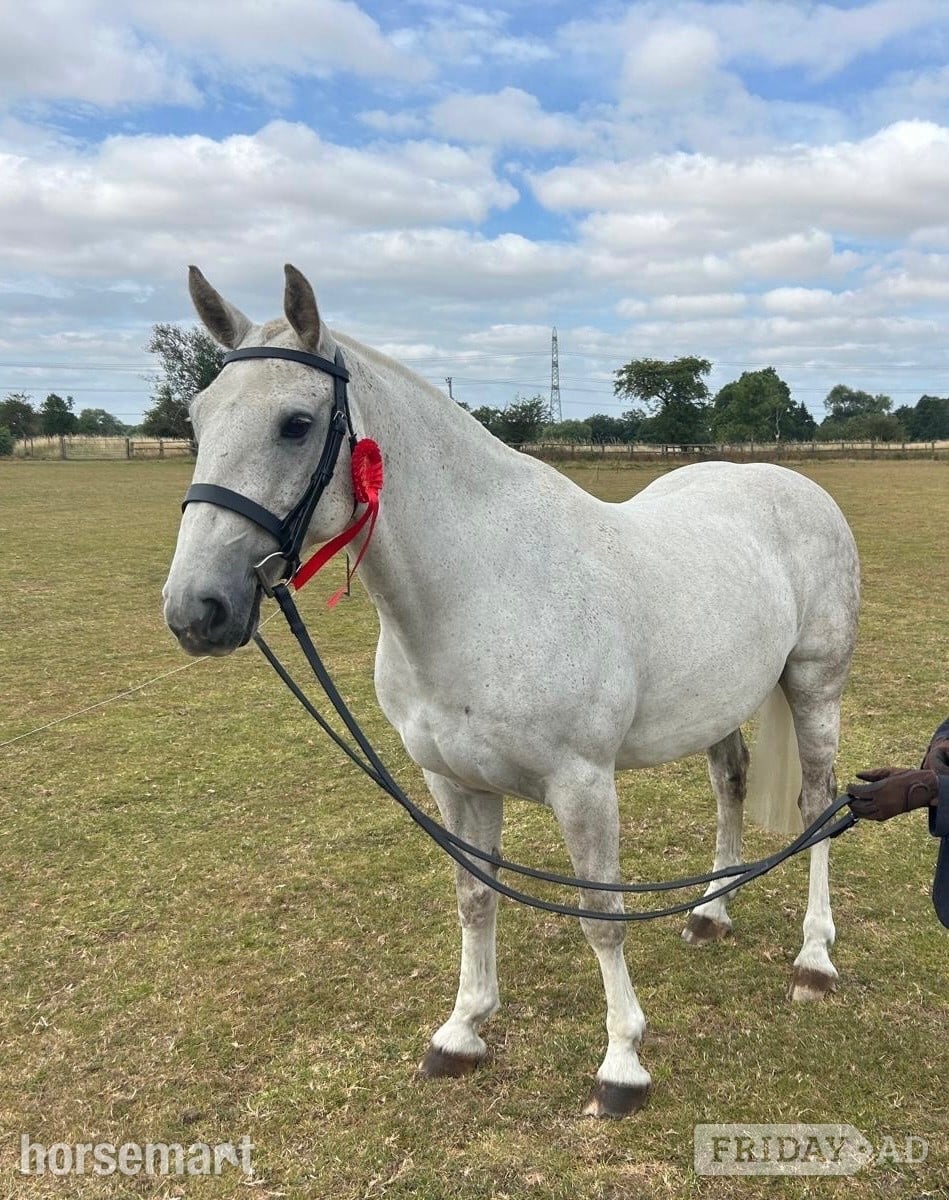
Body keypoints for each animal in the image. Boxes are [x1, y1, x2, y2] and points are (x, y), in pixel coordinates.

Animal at [163, 264, 860, 1118]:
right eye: (197, 418)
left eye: (295, 424)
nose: (196, 609)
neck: (480, 591)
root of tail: (788, 483)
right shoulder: (451, 783)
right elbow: (475, 898)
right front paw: (461, 1033)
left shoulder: (581, 785)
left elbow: (601, 917)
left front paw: (621, 1066)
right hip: (718, 704)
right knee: (729, 785)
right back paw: (707, 914)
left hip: (814, 685)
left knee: (817, 805)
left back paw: (813, 959)